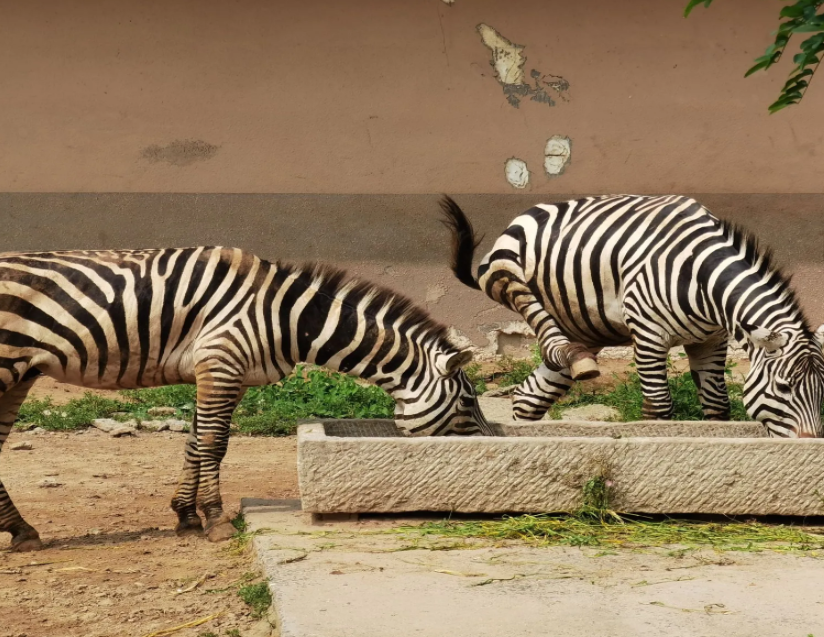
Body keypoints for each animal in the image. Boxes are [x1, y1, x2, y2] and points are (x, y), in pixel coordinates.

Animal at [0, 248, 490, 552]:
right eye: (468, 403)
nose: (489, 448)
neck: (287, 318)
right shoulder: (221, 361)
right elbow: (214, 444)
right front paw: (216, 520)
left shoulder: (218, 371)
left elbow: (194, 443)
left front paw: (186, 515)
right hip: (7, 365)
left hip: (21, 372)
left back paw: (22, 531)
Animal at [440, 194, 824, 438]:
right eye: (784, 387)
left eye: (823, 389)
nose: (810, 442)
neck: (703, 277)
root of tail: (530, 211)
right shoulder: (649, 336)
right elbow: (659, 407)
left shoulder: (711, 341)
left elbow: (717, 405)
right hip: (510, 277)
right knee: (544, 335)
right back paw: (573, 359)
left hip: (584, 327)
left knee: (529, 395)